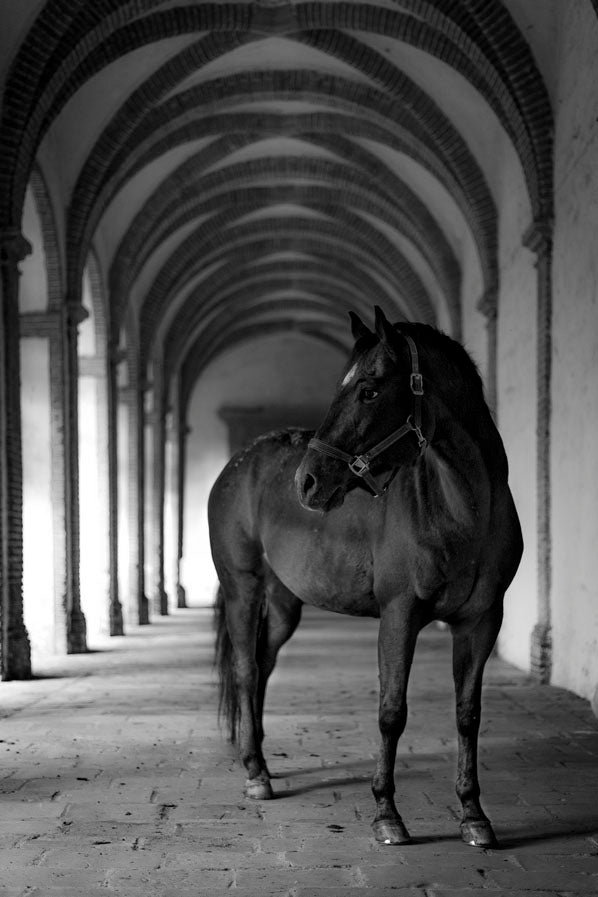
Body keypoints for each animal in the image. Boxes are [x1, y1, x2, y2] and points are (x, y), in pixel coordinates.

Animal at [209, 306, 522, 848]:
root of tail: (238, 464)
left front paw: (473, 815)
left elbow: (468, 714)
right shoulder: (399, 614)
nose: (307, 482)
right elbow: (391, 712)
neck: (465, 512)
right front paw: (386, 814)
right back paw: (255, 772)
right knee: (247, 669)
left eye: (370, 390)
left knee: (264, 664)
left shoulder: (482, 620)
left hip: (284, 601)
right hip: (241, 588)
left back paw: (263, 758)